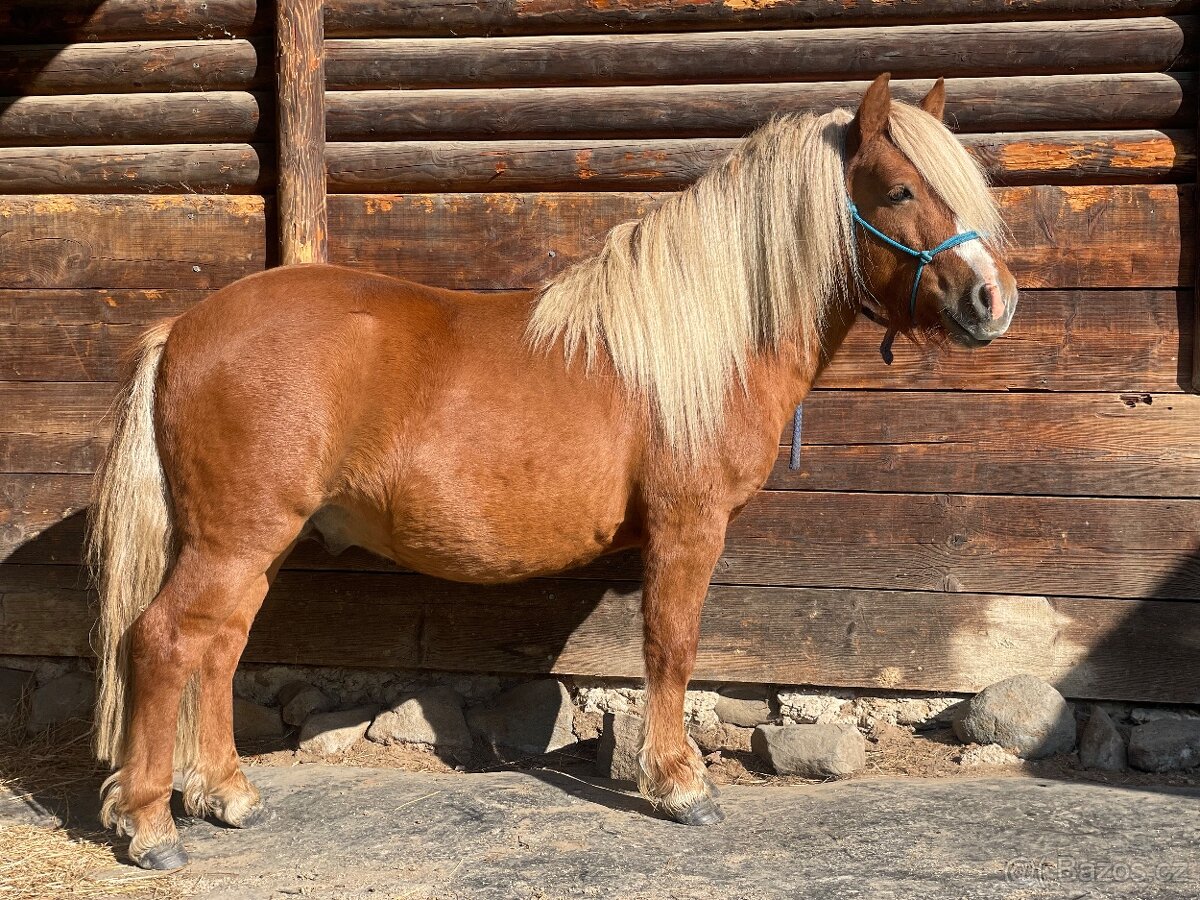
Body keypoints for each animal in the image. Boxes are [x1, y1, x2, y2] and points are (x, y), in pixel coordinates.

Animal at [89, 72, 1017, 870]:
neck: (704, 343)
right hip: (234, 540)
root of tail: (184, 328)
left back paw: (225, 795)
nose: (993, 301)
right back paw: (151, 826)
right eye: (899, 191)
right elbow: (671, 647)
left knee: (219, 646)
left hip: (257, 541)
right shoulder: (688, 528)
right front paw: (680, 786)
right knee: (165, 642)